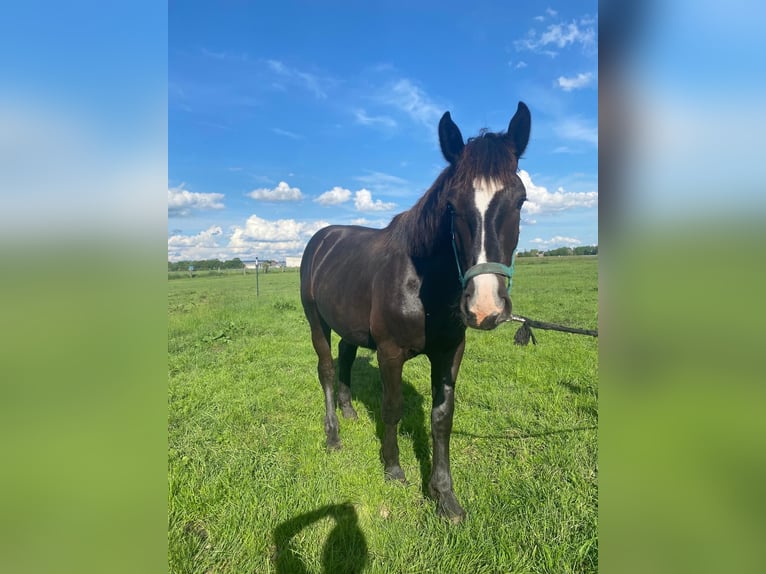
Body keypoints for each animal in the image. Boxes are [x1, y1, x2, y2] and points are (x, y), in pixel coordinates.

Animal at [302, 101, 536, 524]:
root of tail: (322, 238)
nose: (485, 307)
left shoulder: (450, 352)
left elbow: (442, 417)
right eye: (452, 205)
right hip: (316, 322)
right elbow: (392, 407)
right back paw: (333, 434)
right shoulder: (390, 352)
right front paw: (393, 468)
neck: (423, 283)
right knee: (326, 368)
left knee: (345, 355)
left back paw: (349, 411)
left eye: (520, 200)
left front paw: (444, 496)